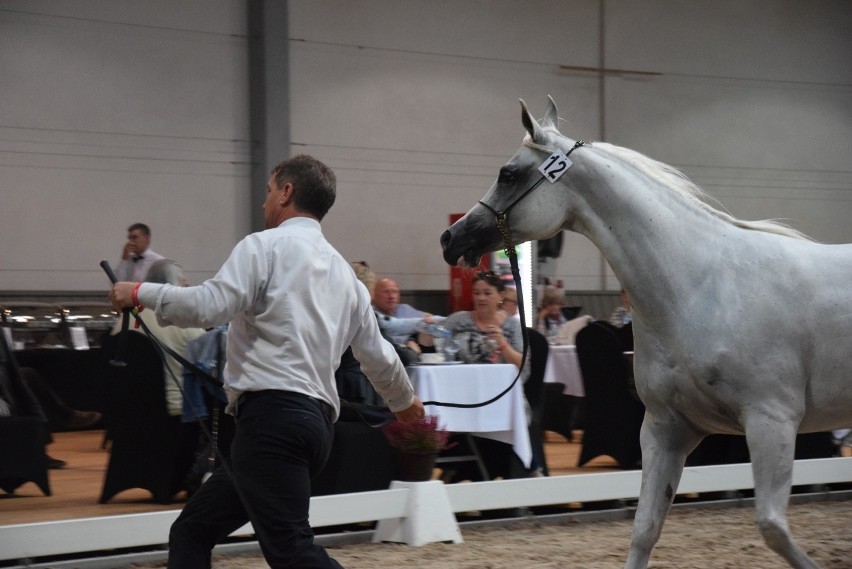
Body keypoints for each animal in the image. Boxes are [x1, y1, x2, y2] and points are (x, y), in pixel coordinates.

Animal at [440, 95, 852, 564]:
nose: (450, 238)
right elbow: (644, 530)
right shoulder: (665, 429)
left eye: (508, 173)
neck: (701, 287)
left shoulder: (772, 421)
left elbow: (773, 528)